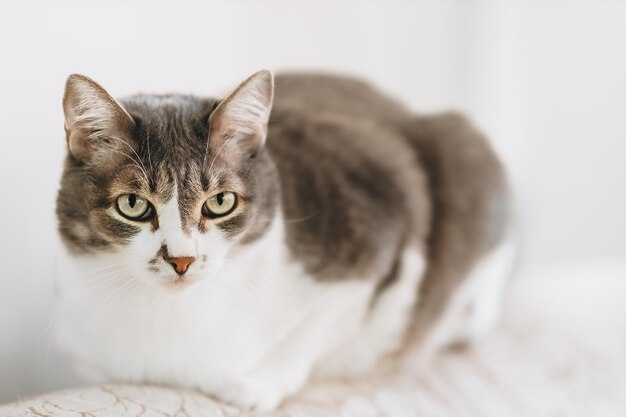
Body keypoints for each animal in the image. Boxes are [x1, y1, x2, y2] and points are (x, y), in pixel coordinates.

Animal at [54, 70, 512, 412]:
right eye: (133, 204)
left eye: (220, 201)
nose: (182, 260)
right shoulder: (88, 352)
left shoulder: (380, 224)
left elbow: (319, 325)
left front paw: (257, 385)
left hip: (465, 152)